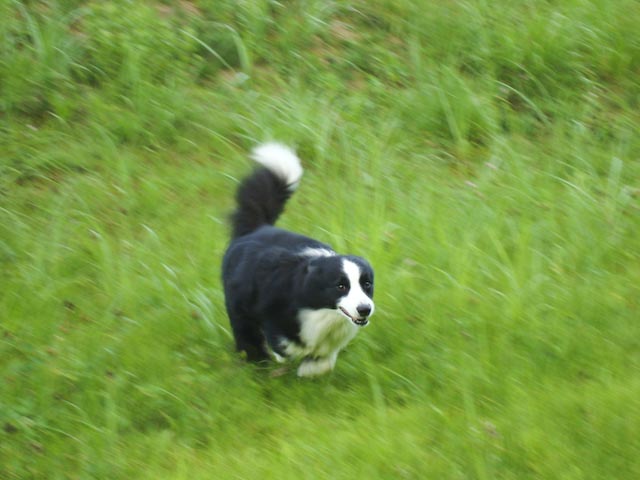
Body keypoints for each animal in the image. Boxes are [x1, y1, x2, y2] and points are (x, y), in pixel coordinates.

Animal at [222, 143, 375, 377]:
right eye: (340, 286)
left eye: (366, 284)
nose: (365, 309)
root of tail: (257, 228)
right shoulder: (273, 311)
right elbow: (284, 343)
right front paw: (288, 357)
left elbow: (323, 358)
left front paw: (311, 368)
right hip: (239, 303)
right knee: (247, 334)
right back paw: (257, 360)